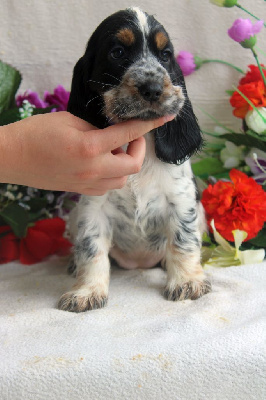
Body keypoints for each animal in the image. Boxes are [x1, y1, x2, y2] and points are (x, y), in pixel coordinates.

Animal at [58, 7, 212, 312]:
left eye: (165, 55)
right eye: (117, 52)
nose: (153, 87)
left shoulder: (181, 201)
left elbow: (183, 241)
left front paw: (187, 282)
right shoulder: (93, 208)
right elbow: (91, 249)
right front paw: (86, 292)